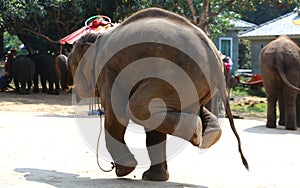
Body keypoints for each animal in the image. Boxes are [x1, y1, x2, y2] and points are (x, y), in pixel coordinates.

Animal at [68, 8, 248, 181]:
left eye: (71, 66)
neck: (99, 37)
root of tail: (215, 57)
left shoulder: (107, 70)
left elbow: (117, 113)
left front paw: (124, 171)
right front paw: (154, 178)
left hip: (176, 75)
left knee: (137, 108)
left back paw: (198, 132)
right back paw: (208, 133)